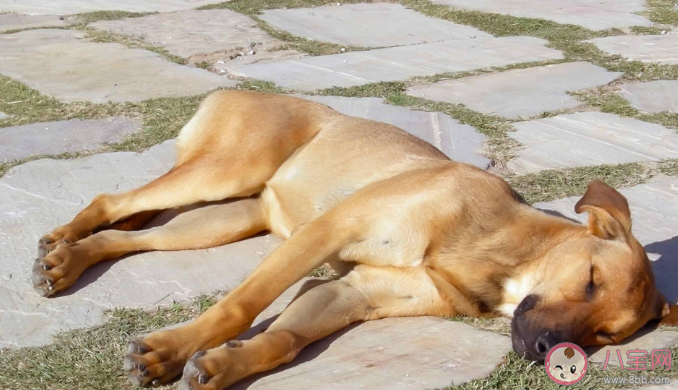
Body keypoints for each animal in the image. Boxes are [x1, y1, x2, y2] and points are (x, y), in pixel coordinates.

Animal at [33, 90, 678, 386]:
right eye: (590, 279)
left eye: (606, 336)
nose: (550, 353)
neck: (499, 253)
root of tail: (235, 90)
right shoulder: (327, 232)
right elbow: (241, 305)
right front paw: (170, 350)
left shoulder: (354, 293)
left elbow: (284, 339)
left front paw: (222, 363)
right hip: (224, 172)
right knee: (113, 202)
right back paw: (65, 240)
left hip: (231, 216)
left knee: (132, 236)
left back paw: (68, 259)